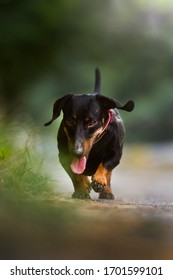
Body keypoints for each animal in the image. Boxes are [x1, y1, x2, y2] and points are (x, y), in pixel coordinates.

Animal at [44, 68, 134, 199]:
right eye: (70, 121)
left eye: (92, 122)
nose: (77, 152)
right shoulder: (64, 156)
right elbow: (75, 175)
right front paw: (81, 191)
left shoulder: (115, 154)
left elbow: (105, 165)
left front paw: (99, 180)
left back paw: (107, 191)